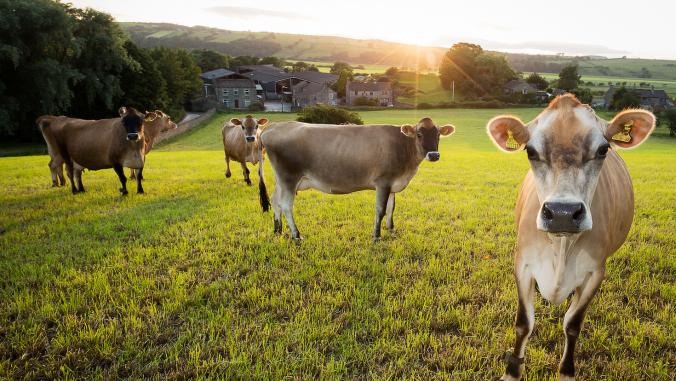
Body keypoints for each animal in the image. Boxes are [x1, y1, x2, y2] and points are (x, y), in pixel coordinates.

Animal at [258, 117, 454, 239]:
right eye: (419, 134)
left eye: (438, 134)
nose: (434, 155)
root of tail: (273, 127)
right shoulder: (383, 182)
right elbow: (381, 210)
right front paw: (377, 235)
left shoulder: (393, 182)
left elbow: (392, 208)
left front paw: (391, 229)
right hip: (289, 177)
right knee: (286, 205)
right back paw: (296, 235)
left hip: (281, 180)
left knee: (275, 200)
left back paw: (278, 229)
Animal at [486, 93, 656, 380]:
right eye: (531, 151)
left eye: (603, 149)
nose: (562, 213)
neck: (561, 247)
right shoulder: (522, 265)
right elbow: (523, 323)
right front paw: (512, 371)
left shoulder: (595, 272)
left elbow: (573, 324)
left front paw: (566, 371)